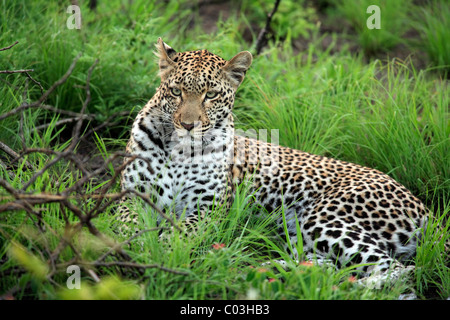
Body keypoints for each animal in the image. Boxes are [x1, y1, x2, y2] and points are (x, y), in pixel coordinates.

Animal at [119, 37, 432, 284]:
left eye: (211, 95)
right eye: (176, 91)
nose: (187, 125)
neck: (179, 150)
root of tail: (423, 207)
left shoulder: (208, 208)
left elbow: (180, 232)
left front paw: (161, 252)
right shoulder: (131, 195)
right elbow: (128, 224)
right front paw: (136, 247)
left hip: (326, 217)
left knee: (396, 269)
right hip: (302, 235)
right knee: (332, 266)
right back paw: (265, 268)